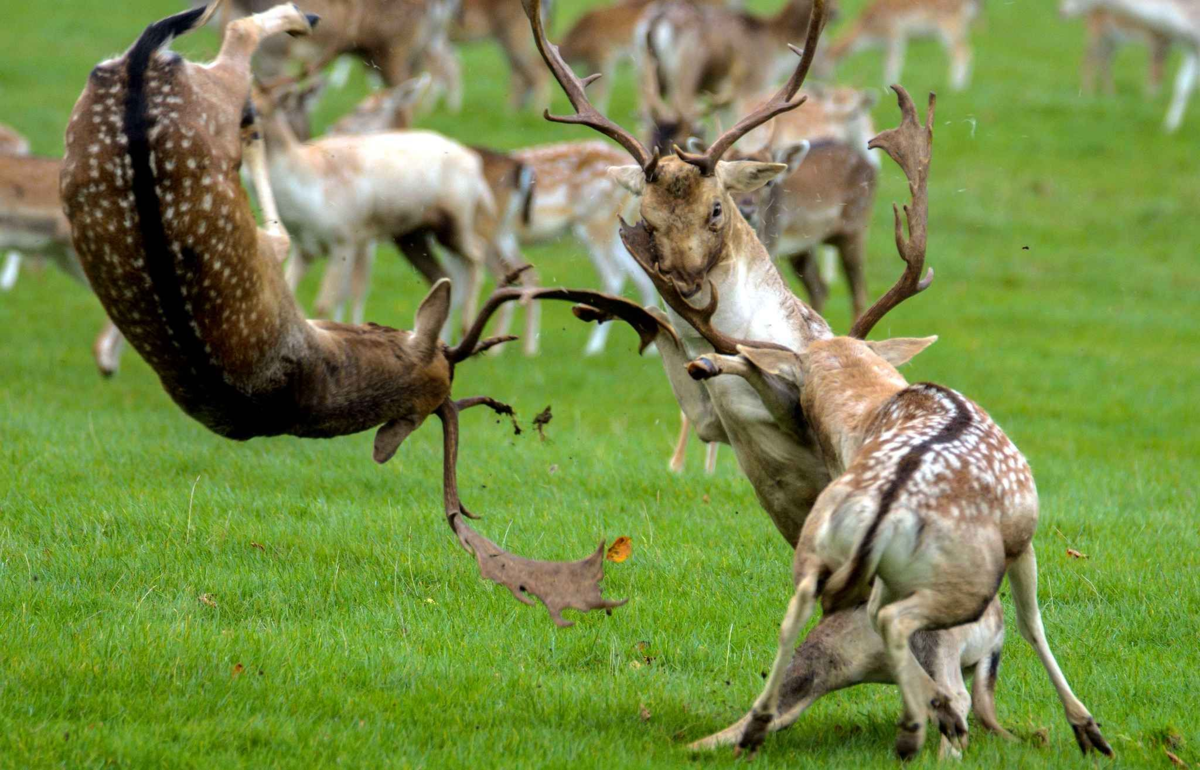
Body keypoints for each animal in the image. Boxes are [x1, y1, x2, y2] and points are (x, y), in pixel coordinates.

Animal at [60, 0, 676, 623]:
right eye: (420, 343)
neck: (305, 380)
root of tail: (138, 76)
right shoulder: (300, 251)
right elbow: (289, 241)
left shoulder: (325, 244)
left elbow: (301, 254)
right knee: (234, 42)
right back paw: (283, 36)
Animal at [825, 0, 984, 92]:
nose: (830, 79)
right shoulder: (885, 44)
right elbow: (887, 63)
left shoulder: (894, 35)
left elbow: (893, 63)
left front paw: (888, 87)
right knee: (967, 50)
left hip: (950, 26)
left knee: (962, 52)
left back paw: (956, 86)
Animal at [1060, 0, 1200, 130]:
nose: (1061, 11)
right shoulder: (1158, 41)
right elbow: (1159, 75)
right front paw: (1151, 104)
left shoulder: (1174, 45)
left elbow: (1175, 82)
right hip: (1098, 33)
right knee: (1090, 59)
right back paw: (1090, 94)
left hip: (1112, 40)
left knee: (1102, 60)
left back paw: (1108, 94)